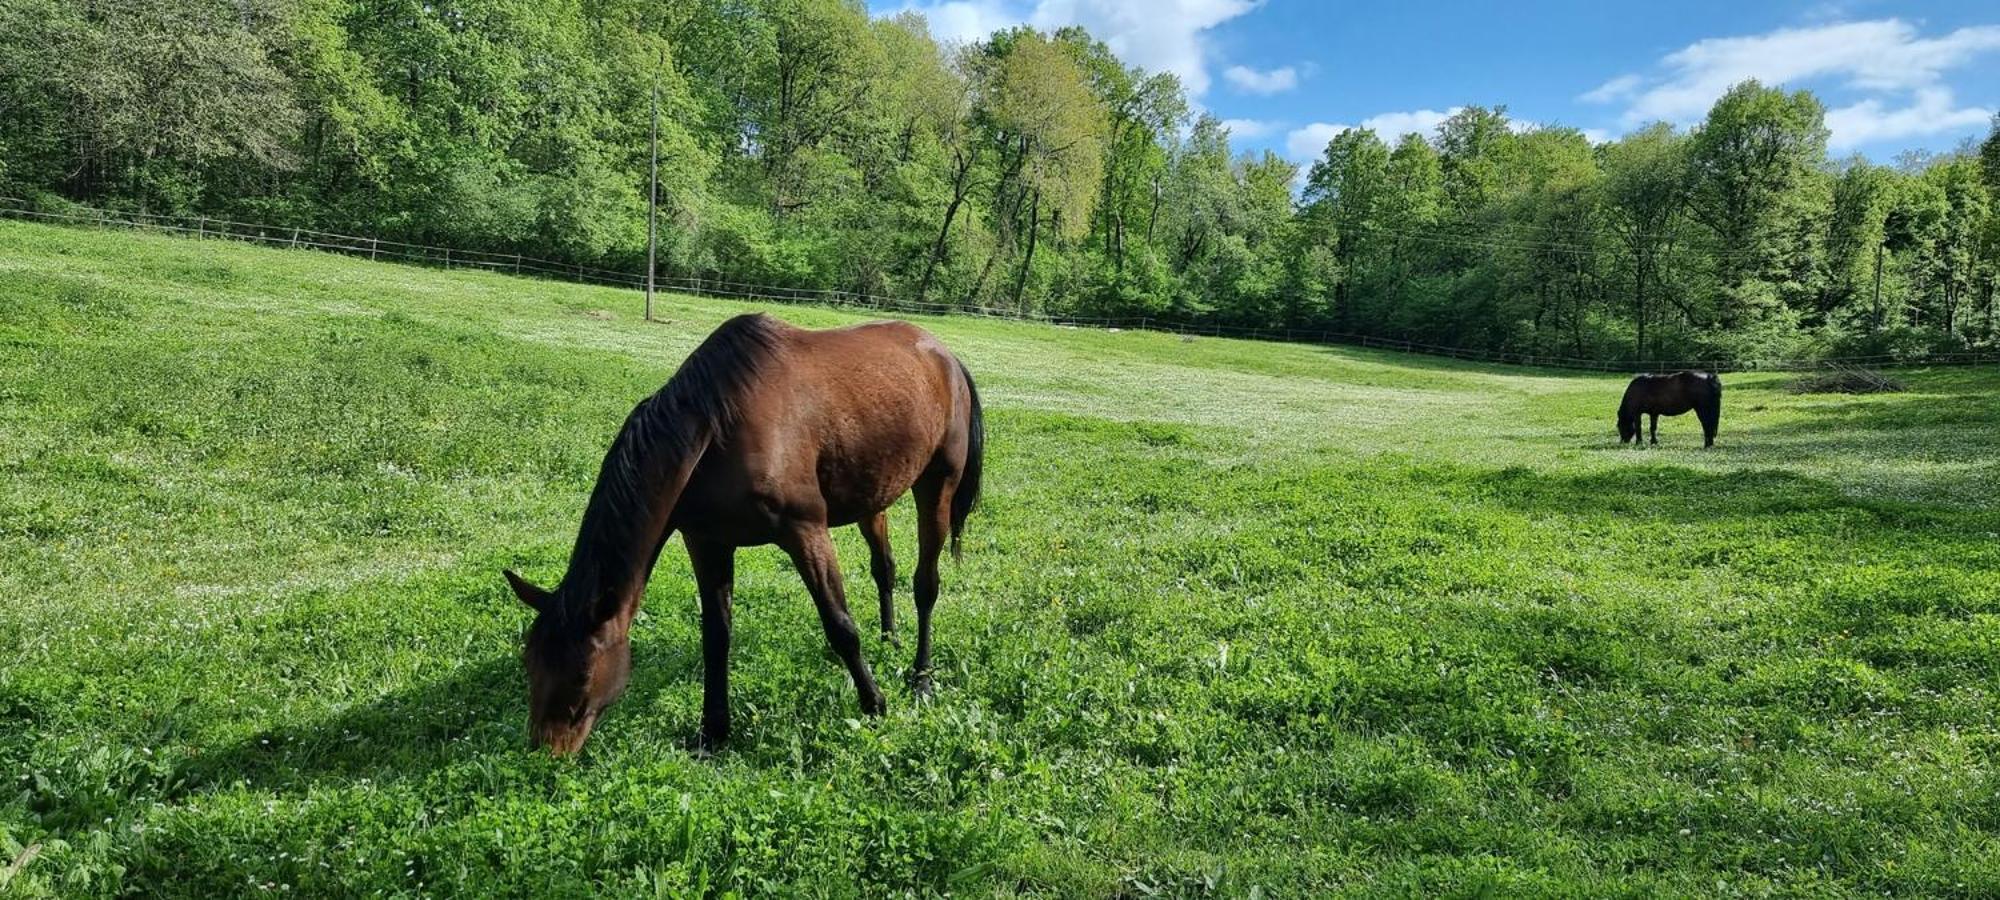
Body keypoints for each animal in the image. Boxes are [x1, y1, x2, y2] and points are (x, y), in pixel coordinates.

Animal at [504, 312, 988, 756]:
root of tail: (947, 357)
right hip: (874, 495)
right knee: (884, 567)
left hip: (937, 486)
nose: (546, 750)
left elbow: (841, 625)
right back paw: (889, 638)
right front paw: (713, 732)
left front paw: (874, 705)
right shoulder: (708, 542)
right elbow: (716, 636)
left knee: (926, 584)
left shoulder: (805, 531)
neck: (717, 427)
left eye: (584, 672)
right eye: (529, 661)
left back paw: (921, 679)